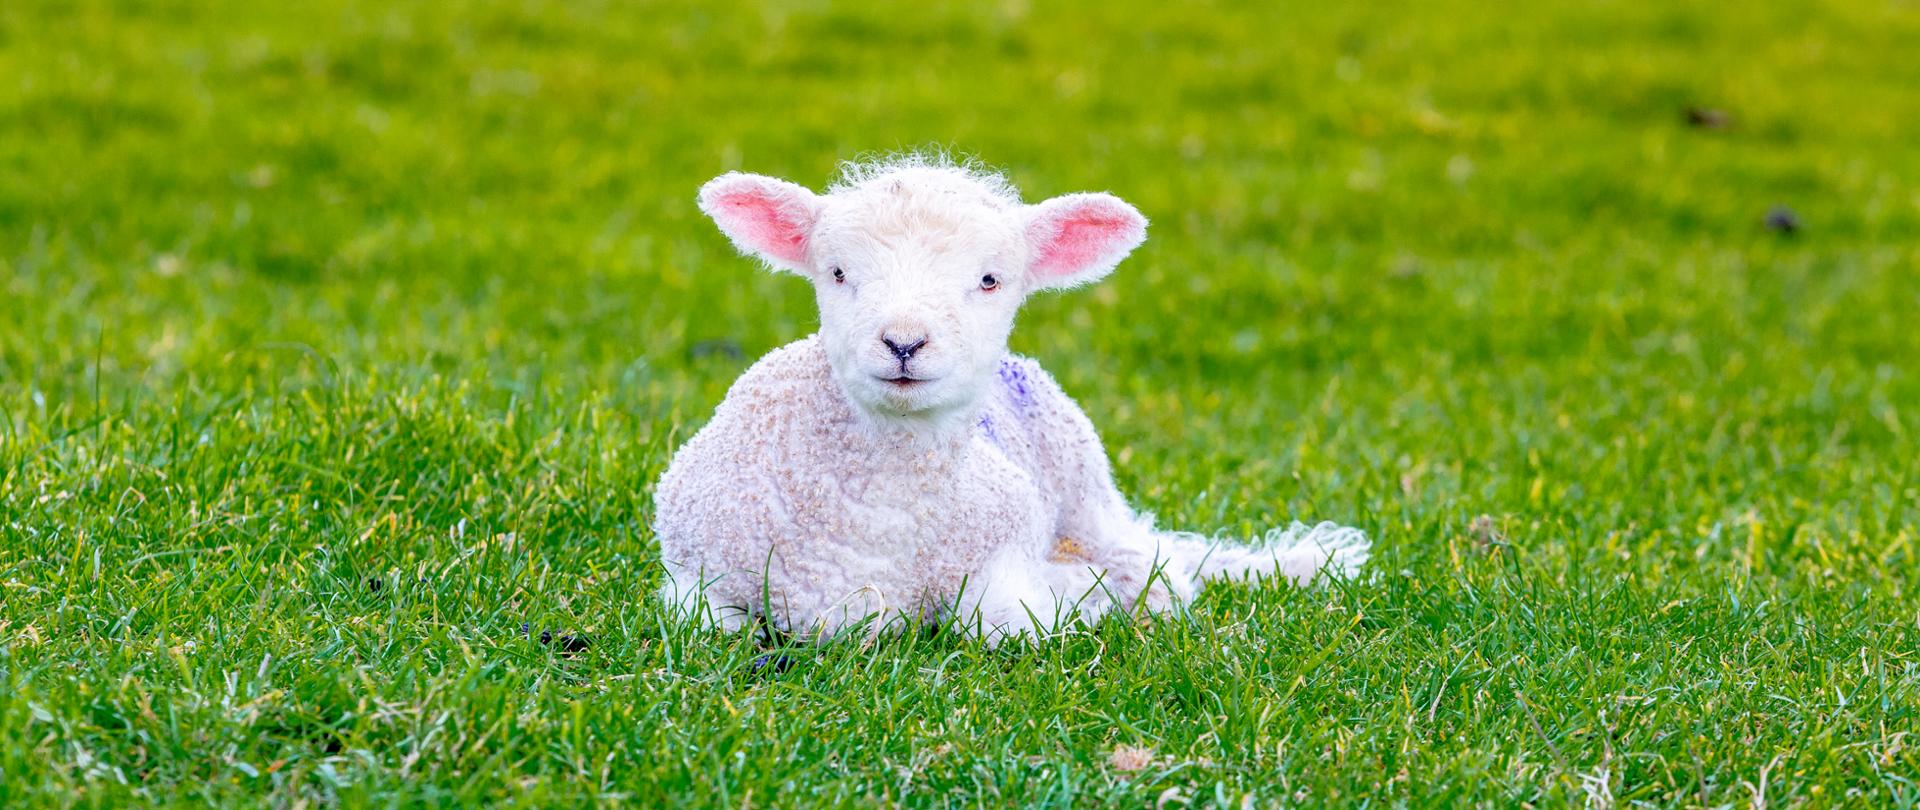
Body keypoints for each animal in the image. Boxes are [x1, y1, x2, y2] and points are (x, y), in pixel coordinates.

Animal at [654, 155, 1369, 643]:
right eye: (835, 273)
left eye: (990, 280)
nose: (904, 342)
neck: (881, 516)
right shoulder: (693, 571)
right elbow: (704, 627)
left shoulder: (1004, 550)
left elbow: (1007, 623)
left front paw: (1074, 597)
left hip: (1087, 491)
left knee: (1157, 565)